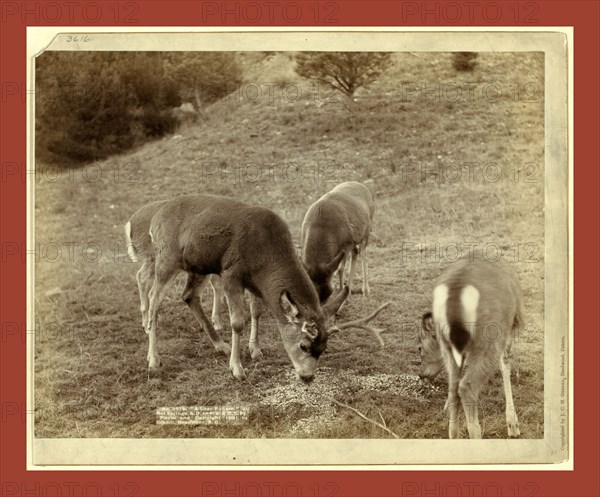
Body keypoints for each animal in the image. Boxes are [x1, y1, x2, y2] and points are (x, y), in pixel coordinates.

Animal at [124, 193, 392, 380]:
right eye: (303, 345)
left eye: (324, 348)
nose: (307, 377)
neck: (265, 254)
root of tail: (155, 217)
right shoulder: (231, 273)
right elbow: (237, 322)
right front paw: (237, 368)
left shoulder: (254, 282)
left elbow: (257, 312)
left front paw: (255, 350)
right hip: (167, 259)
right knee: (154, 299)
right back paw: (153, 358)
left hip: (197, 266)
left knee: (188, 295)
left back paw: (219, 344)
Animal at [420, 256, 524, 438]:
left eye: (420, 348)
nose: (421, 374)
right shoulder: (508, 328)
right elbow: (505, 365)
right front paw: (513, 425)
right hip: (489, 337)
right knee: (467, 386)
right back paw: (476, 433)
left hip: (449, 346)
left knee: (454, 388)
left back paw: (453, 433)